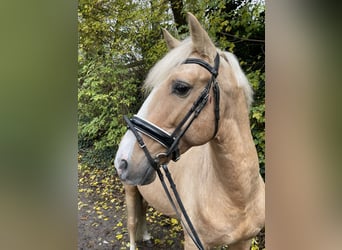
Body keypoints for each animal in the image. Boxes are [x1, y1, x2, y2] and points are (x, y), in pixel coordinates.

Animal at [115, 12, 264, 249]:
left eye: (181, 87)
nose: (122, 160)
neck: (239, 198)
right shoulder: (193, 241)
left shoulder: (244, 241)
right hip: (129, 189)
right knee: (131, 222)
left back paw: (146, 235)